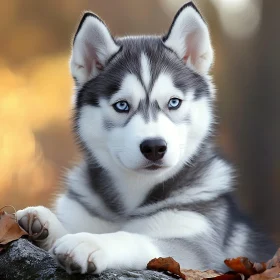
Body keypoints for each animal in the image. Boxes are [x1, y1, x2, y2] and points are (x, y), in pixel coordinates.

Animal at [17, 1, 276, 274]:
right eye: (122, 105)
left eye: (174, 102)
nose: (154, 147)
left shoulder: (195, 248)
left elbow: (134, 238)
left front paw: (88, 242)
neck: (130, 202)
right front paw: (45, 225)